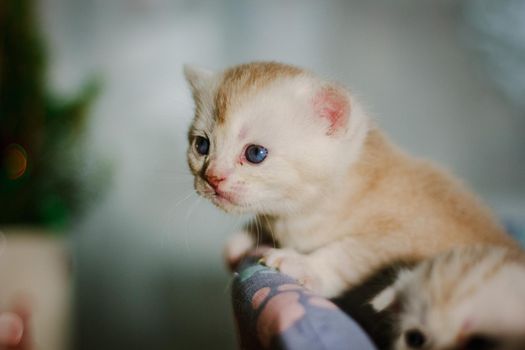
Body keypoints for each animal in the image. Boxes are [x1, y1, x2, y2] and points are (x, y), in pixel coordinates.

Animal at [182, 62, 512, 298]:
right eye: (202, 146)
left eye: (255, 153)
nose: (212, 177)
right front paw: (242, 240)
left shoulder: (411, 235)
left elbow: (350, 254)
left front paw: (305, 265)